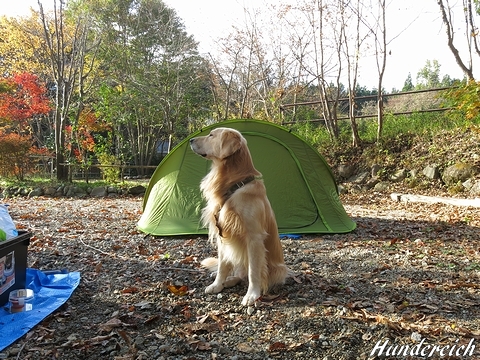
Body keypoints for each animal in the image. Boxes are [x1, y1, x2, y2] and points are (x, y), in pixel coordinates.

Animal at [189, 128, 288, 306]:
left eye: (211, 135)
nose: (190, 140)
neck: (235, 185)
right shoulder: (222, 233)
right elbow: (222, 266)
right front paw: (217, 284)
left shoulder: (254, 238)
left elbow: (253, 272)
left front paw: (252, 295)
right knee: (234, 271)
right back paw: (225, 280)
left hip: (279, 270)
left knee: (246, 276)